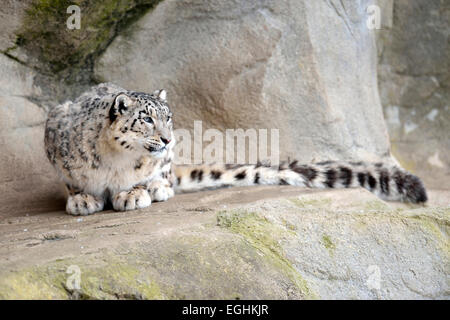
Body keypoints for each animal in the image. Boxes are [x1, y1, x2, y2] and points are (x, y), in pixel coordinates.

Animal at [44, 84, 428, 216]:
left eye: (168, 117)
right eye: (146, 119)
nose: (168, 140)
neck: (115, 162)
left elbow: (140, 178)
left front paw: (134, 193)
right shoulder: (55, 136)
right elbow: (73, 181)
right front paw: (81, 200)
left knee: (167, 176)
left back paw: (157, 188)